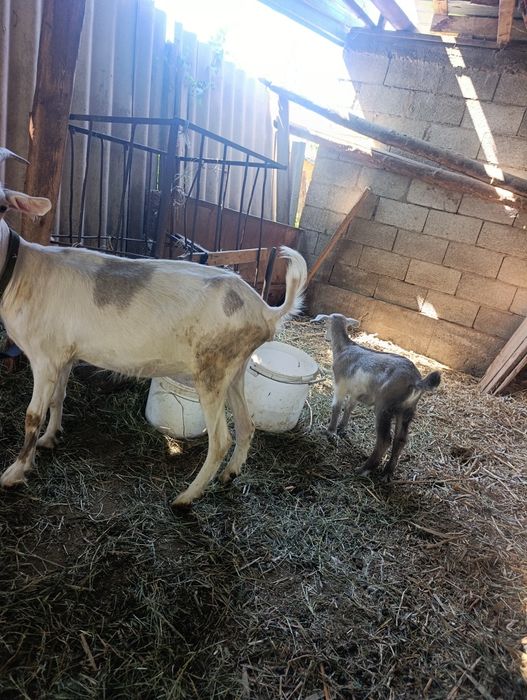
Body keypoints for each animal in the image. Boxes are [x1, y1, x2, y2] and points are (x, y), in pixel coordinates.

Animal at [0, 148, 307, 505]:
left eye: (3, 207)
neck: (19, 271)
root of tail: (267, 311)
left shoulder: (44, 356)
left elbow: (32, 416)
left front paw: (15, 472)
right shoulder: (63, 354)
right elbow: (58, 398)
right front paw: (51, 438)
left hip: (212, 372)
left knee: (221, 441)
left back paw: (185, 499)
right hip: (235, 368)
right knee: (247, 426)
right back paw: (229, 475)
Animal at [313, 313, 441, 481]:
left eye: (326, 324)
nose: (326, 337)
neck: (344, 348)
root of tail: (416, 381)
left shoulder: (340, 384)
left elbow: (337, 407)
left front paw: (331, 432)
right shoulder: (355, 391)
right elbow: (349, 407)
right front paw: (341, 428)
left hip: (384, 406)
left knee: (385, 439)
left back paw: (363, 469)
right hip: (407, 410)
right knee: (400, 439)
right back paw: (387, 472)